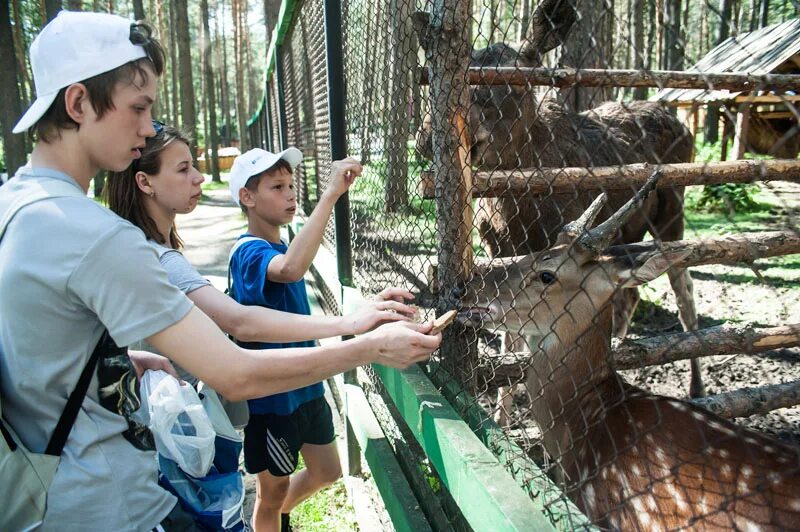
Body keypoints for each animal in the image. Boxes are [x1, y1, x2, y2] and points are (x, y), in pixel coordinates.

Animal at [416, 0, 704, 426]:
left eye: (516, 81)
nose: (427, 133)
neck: (510, 206)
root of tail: (681, 123)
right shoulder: (499, 250)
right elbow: (509, 338)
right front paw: (503, 418)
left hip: (672, 214)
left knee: (684, 294)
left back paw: (696, 387)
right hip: (632, 228)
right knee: (630, 293)